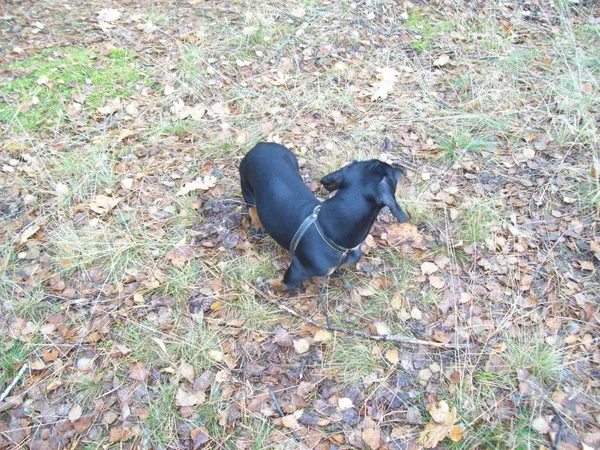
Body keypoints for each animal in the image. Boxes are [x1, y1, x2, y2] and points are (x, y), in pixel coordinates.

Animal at [239, 144, 408, 292]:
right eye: (393, 174)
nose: (403, 171)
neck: (329, 227)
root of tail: (262, 145)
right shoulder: (298, 268)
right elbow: (286, 284)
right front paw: (267, 283)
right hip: (246, 183)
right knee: (252, 206)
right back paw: (257, 224)